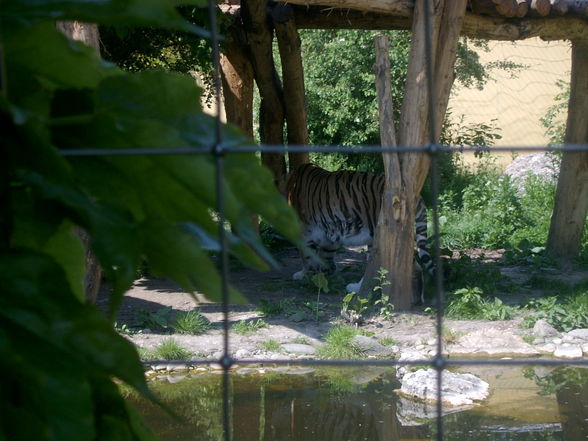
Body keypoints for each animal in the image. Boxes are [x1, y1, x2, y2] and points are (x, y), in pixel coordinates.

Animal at [288, 163, 434, 300]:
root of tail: (416, 196)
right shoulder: (330, 236)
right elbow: (324, 255)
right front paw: (325, 272)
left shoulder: (303, 232)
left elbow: (307, 257)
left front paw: (305, 275)